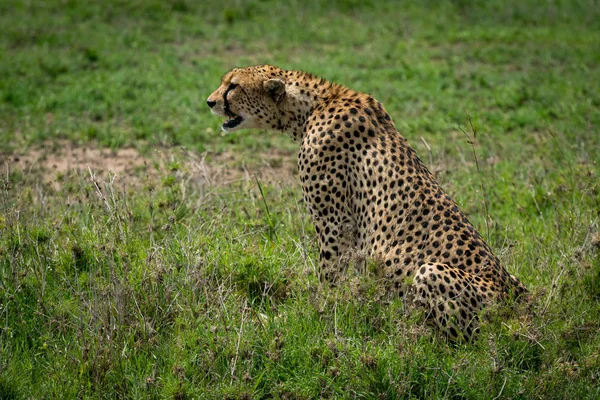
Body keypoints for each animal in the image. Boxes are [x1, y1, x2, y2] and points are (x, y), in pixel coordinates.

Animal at [206, 65, 524, 340]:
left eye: (233, 86)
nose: (209, 102)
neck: (314, 106)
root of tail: (518, 302)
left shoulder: (334, 221)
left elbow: (329, 274)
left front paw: (316, 314)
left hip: (430, 271)